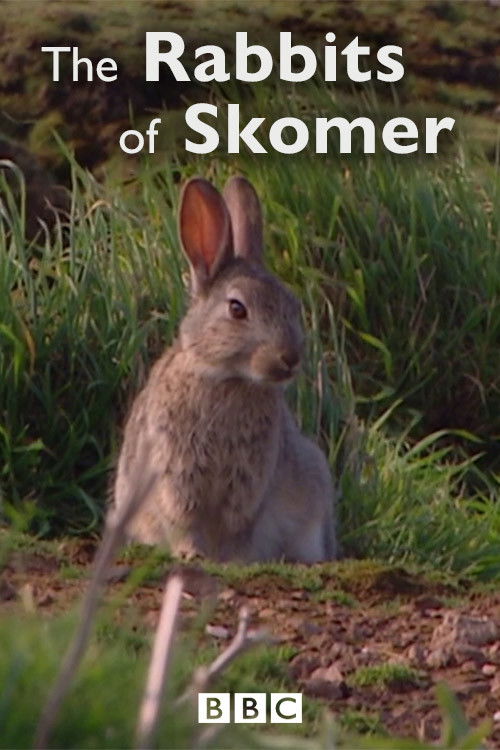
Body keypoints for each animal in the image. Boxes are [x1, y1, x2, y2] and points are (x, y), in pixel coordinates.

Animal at [113, 175, 337, 562]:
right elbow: (185, 519)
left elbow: (237, 528)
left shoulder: (248, 483)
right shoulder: (175, 472)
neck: (228, 379)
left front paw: (232, 560)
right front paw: (193, 555)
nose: (290, 357)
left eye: (293, 305)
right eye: (236, 309)